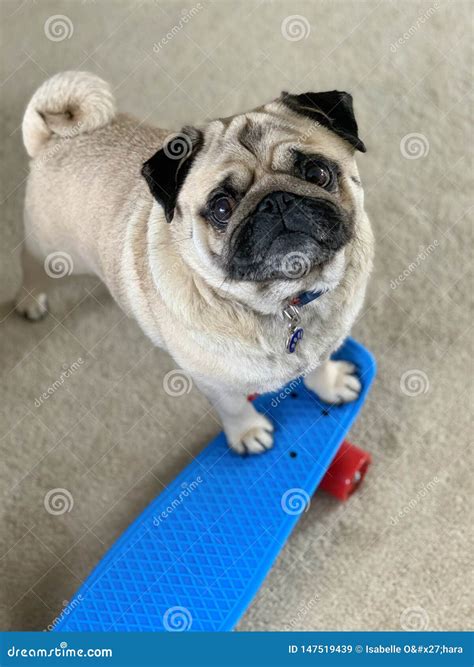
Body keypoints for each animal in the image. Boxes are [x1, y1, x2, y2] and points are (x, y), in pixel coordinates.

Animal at [16, 72, 374, 454]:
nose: (276, 201)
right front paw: (248, 433)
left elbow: (319, 366)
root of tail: (54, 137)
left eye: (317, 173)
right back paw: (29, 301)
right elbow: (234, 408)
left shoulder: (320, 349)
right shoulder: (216, 384)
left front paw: (331, 385)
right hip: (52, 252)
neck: (288, 301)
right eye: (221, 208)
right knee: (30, 265)